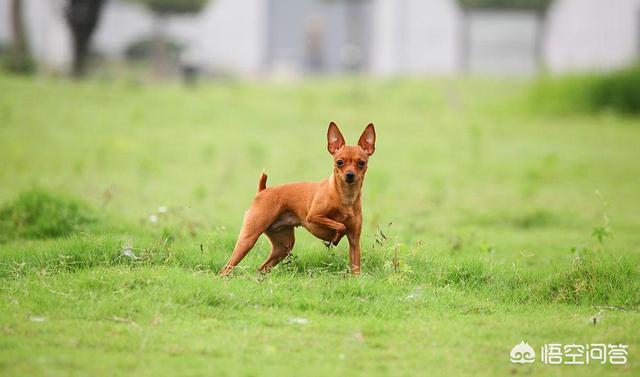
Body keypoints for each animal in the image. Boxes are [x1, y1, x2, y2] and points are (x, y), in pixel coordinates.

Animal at [220, 122, 376, 274]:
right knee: (226, 269)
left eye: (361, 163)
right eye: (340, 162)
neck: (345, 197)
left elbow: (356, 269)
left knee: (261, 268)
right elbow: (340, 225)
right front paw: (334, 239)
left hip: (283, 246)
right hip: (248, 239)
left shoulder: (354, 241)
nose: (349, 175)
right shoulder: (313, 216)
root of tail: (263, 190)